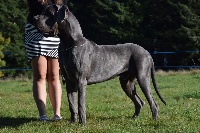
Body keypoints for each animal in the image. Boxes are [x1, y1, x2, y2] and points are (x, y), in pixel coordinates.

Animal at [34, 5, 166, 123]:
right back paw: (134, 118)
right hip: (126, 83)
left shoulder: (81, 81)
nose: (34, 18)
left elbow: (80, 104)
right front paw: (72, 123)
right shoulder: (69, 81)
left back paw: (155, 121)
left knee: (153, 102)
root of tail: (147, 52)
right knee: (139, 102)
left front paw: (82, 123)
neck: (68, 44)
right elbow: (72, 104)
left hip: (142, 78)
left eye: (49, 13)